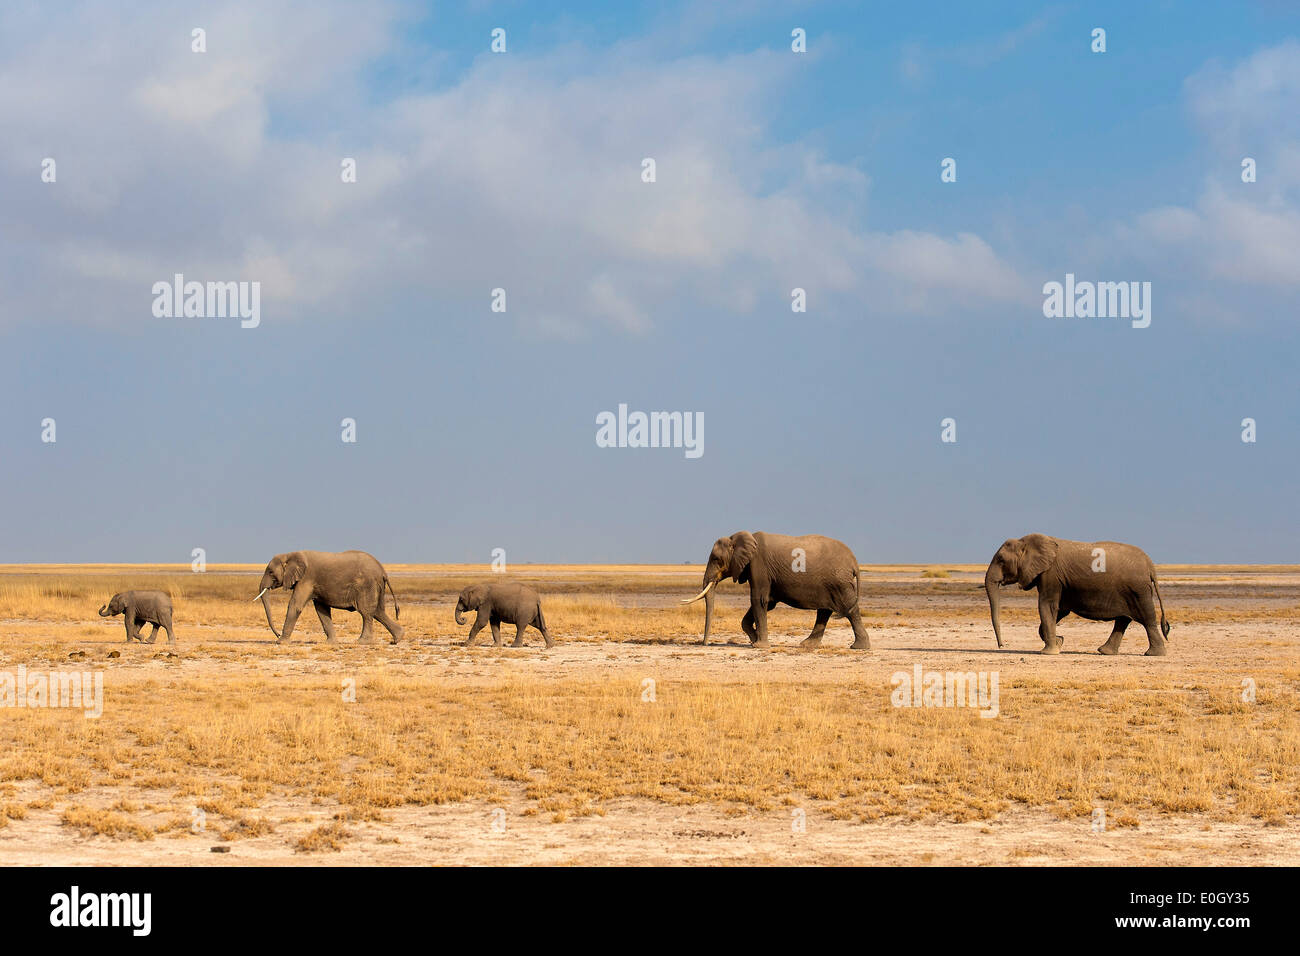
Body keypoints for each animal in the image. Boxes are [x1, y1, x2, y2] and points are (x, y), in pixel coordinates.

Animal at [249, 554, 400, 642]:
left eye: (270, 572)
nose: (277, 635)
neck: (291, 555)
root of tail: (383, 570)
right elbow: (322, 610)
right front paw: (331, 643)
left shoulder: (306, 578)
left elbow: (295, 605)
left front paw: (281, 642)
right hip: (376, 586)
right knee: (378, 612)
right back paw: (397, 638)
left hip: (366, 585)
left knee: (366, 613)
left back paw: (362, 642)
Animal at [681, 530, 873, 650]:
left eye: (716, 559)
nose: (705, 644)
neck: (738, 538)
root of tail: (854, 561)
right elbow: (767, 603)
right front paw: (754, 641)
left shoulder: (759, 566)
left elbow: (759, 600)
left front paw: (760, 645)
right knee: (824, 611)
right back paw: (807, 645)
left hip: (839, 582)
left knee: (850, 609)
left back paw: (859, 647)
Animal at [982, 535, 1170, 655]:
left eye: (1001, 560)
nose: (1002, 645)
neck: (1026, 542)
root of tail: (1150, 565)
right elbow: (1058, 610)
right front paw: (1059, 642)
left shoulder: (1051, 574)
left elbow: (1047, 606)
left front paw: (1050, 651)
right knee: (1123, 620)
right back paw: (1105, 652)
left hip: (1138, 590)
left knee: (1147, 619)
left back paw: (1154, 654)